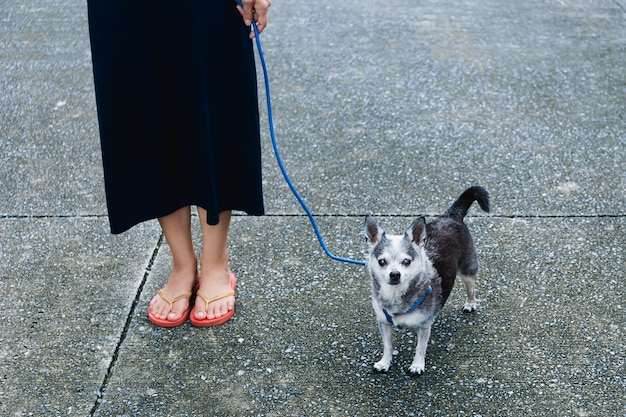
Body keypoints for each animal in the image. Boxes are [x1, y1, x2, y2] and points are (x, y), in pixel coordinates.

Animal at [364, 186, 490, 374]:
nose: (394, 274)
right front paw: (385, 362)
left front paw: (417, 365)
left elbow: (420, 348)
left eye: (406, 261)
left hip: (467, 269)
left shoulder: (423, 326)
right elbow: (387, 345)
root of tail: (451, 216)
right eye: (381, 262)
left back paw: (470, 304)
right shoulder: (384, 322)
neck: (396, 295)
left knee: (471, 287)